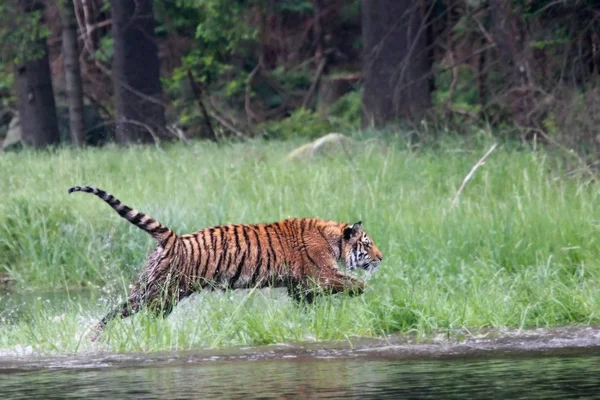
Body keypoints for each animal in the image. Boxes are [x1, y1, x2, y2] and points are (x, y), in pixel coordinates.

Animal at [67, 186, 384, 340]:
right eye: (367, 243)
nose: (381, 258)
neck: (333, 239)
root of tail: (173, 238)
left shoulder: (300, 286)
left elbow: (306, 306)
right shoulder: (322, 275)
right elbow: (354, 284)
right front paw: (368, 295)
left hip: (147, 289)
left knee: (115, 311)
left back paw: (92, 336)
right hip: (161, 294)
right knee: (139, 315)